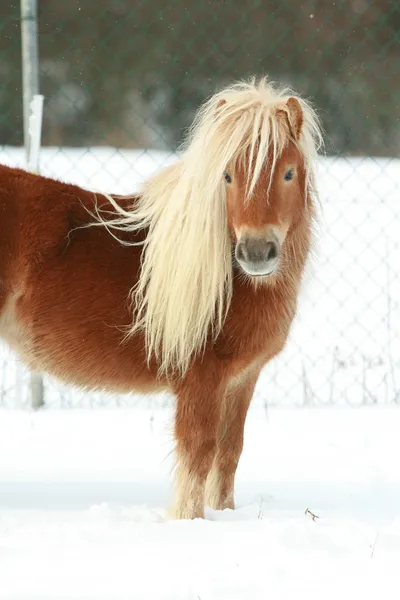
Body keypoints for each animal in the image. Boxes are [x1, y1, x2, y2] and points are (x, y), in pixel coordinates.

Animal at [0, 78, 320, 520]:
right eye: (227, 176)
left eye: (289, 173)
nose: (256, 252)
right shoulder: (202, 378)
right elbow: (198, 453)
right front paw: (189, 521)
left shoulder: (242, 380)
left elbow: (229, 453)